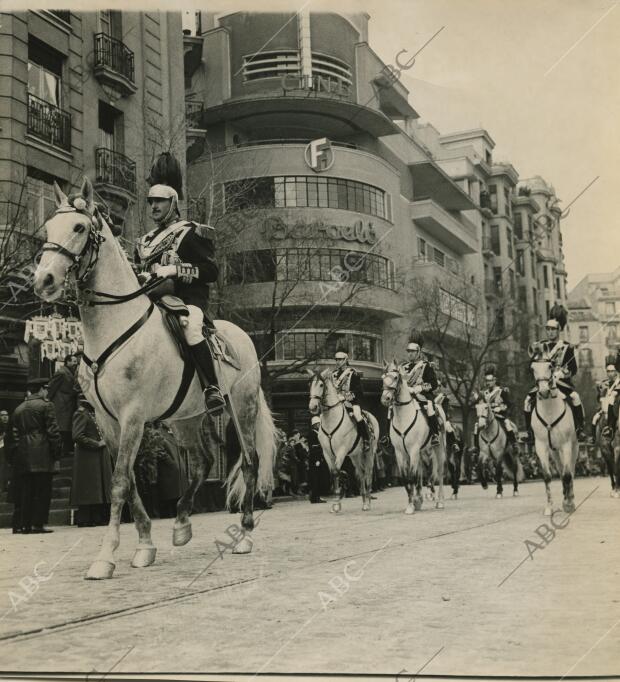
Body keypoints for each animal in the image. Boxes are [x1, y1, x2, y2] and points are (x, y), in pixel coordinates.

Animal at [32, 178, 276, 576]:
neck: (113, 327)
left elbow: (119, 482)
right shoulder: (106, 420)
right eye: (49, 227)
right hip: (185, 418)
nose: (44, 279)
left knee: (250, 462)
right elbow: (129, 480)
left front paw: (105, 556)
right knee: (203, 462)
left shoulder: (133, 415)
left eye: (79, 227)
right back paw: (181, 524)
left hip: (242, 407)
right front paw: (145, 544)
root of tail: (241, 336)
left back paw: (244, 534)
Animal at [306, 366, 378, 510]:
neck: (331, 421)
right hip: (355, 455)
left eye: (321, 384)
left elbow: (337, 472)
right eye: (310, 384)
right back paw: (364, 501)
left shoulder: (341, 450)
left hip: (369, 453)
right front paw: (336, 502)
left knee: (368, 472)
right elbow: (333, 473)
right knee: (360, 473)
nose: (313, 407)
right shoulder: (327, 453)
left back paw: (368, 501)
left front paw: (336, 502)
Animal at [378, 362, 446, 510]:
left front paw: (412, 505)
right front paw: (412, 503)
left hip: (437, 448)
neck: (403, 417)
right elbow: (406, 478)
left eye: (396, 377)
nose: (385, 399)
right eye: (383, 378)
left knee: (439, 472)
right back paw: (420, 498)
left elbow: (412, 476)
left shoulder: (413, 449)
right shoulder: (400, 452)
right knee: (422, 473)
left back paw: (439, 501)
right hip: (421, 452)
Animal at [532, 362, 580, 510]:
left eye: (549, 366)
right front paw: (549, 506)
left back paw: (570, 497)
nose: (543, 392)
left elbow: (567, 474)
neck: (549, 410)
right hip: (554, 451)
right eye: (532, 368)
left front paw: (569, 503)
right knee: (560, 470)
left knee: (571, 470)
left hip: (574, 446)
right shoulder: (541, 446)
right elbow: (548, 476)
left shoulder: (566, 444)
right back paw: (565, 495)